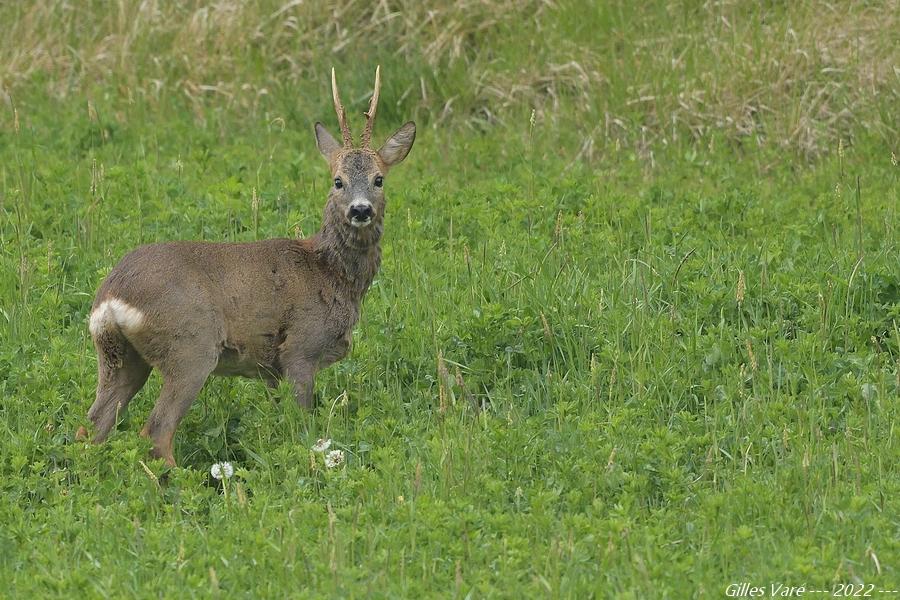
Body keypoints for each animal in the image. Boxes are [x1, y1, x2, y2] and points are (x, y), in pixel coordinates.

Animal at [77, 68, 414, 466]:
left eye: (379, 179)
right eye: (338, 181)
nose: (360, 210)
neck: (330, 274)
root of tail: (111, 296)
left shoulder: (270, 368)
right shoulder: (300, 348)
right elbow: (303, 423)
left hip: (119, 357)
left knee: (91, 426)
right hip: (190, 347)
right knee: (156, 430)